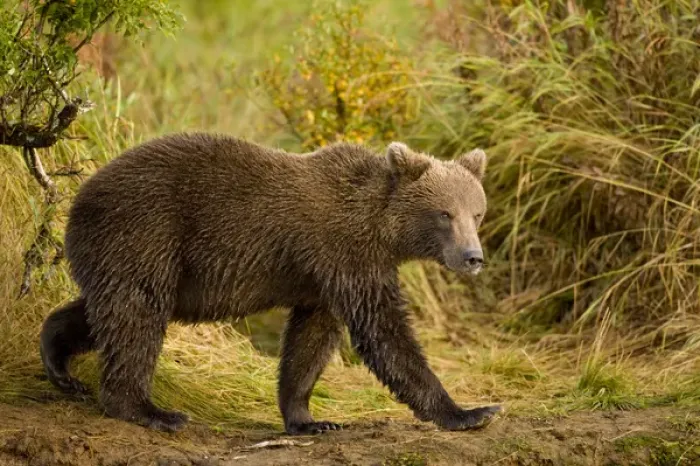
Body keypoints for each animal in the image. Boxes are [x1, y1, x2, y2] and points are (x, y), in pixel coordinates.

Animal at [39, 133, 499, 434]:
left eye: (477, 213)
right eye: (445, 213)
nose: (472, 257)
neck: (380, 229)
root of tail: (78, 196)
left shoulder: (324, 279)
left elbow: (310, 343)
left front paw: (309, 419)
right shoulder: (347, 255)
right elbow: (384, 332)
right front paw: (470, 411)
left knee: (108, 309)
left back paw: (58, 361)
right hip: (146, 230)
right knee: (137, 315)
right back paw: (151, 410)